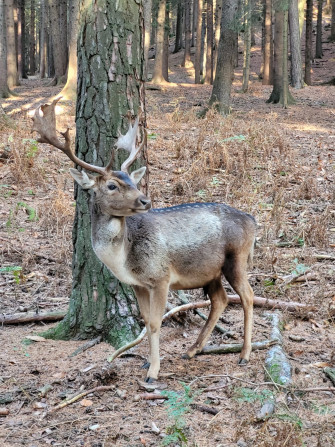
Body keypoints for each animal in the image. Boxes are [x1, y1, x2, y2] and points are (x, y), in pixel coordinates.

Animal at [32, 100, 258, 384]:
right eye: (112, 185)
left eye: (132, 180)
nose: (145, 200)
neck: (124, 259)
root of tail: (252, 220)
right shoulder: (137, 284)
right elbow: (145, 320)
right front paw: (148, 362)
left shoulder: (161, 277)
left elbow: (155, 323)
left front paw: (153, 372)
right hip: (210, 271)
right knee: (221, 299)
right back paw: (192, 350)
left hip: (237, 258)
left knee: (247, 296)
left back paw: (244, 354)